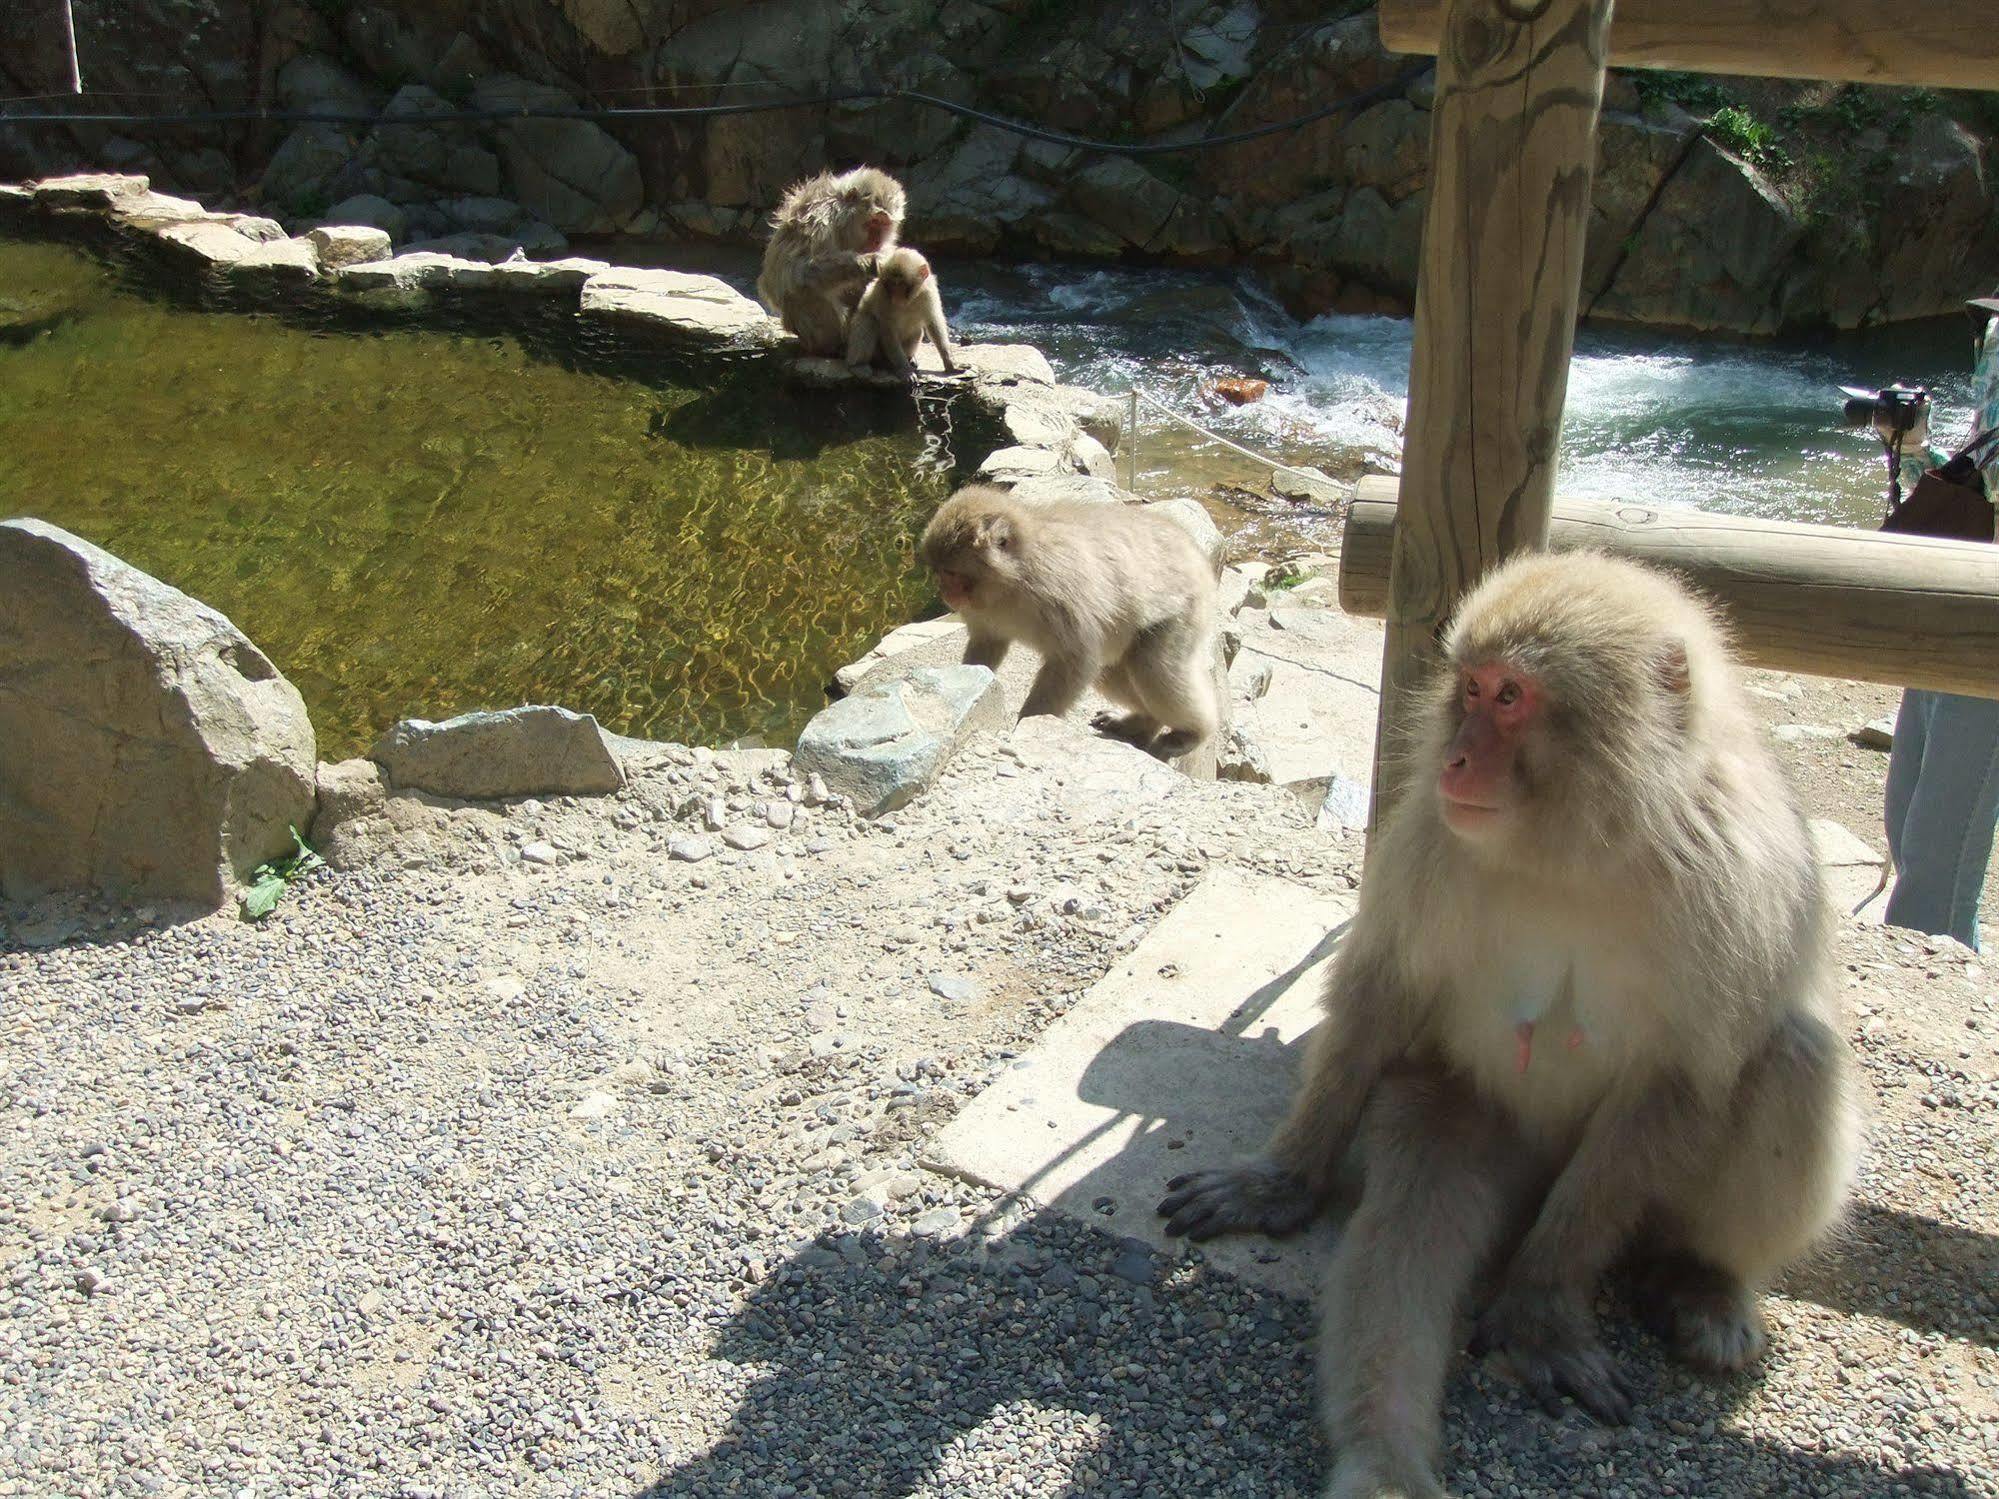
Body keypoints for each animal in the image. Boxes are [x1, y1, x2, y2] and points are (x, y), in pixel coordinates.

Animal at [755, 166, 907, 357]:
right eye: (874, 221)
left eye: (884, 224)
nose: (876, 241)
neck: (842, 223)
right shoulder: (819, 220)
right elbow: (798, 271)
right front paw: (868, 262)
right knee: (804, 293)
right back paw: (831, 347)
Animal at [847, 247, 955, 377]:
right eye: (891, 284)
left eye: (901, 284)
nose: (896, 296)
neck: (908, 301)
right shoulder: (882, 295)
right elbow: (888, 331)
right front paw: (905, 370)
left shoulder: (928, 291)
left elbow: (933, 322)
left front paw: (949, 361)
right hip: (878, 355)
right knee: (868, 321)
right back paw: (859, 365)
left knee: (917, 331)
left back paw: (910, 358)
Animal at [1159, 551, 1855, 1499]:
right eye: (1470, 688)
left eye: (1511, 697)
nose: (1455, 756)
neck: (1581, 841)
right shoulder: (1427, 833)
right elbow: (1382, 993)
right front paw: (1281, 1179)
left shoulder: (1739, 874)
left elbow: (1683, 1076)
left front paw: (1538, 1314)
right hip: (1450, 1106)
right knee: (1408, 1221)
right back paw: (1382, 1459)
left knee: (1792, 1057)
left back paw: (1698, 1281)